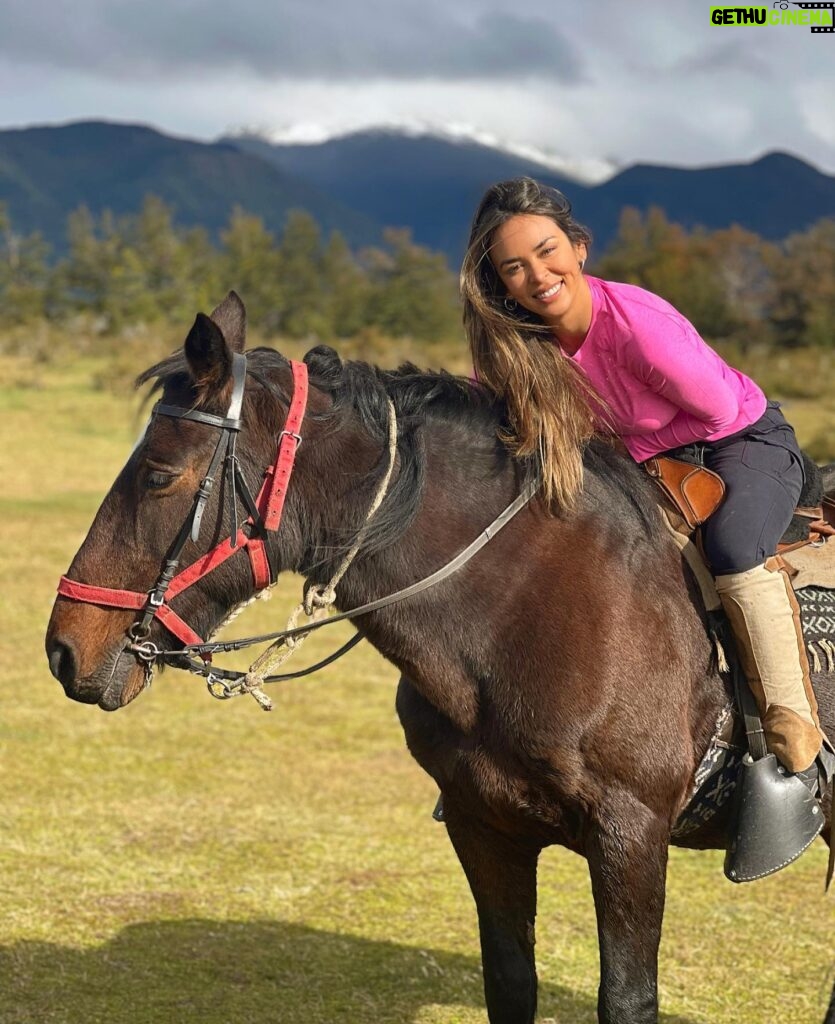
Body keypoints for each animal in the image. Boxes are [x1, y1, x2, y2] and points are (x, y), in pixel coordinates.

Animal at [45, 294, 835, 1024]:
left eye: (157, 475)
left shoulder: (630, 835)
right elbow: (510, 984)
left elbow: (627, 999)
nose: (63, 648)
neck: (532, 606)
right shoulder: (482, 828)